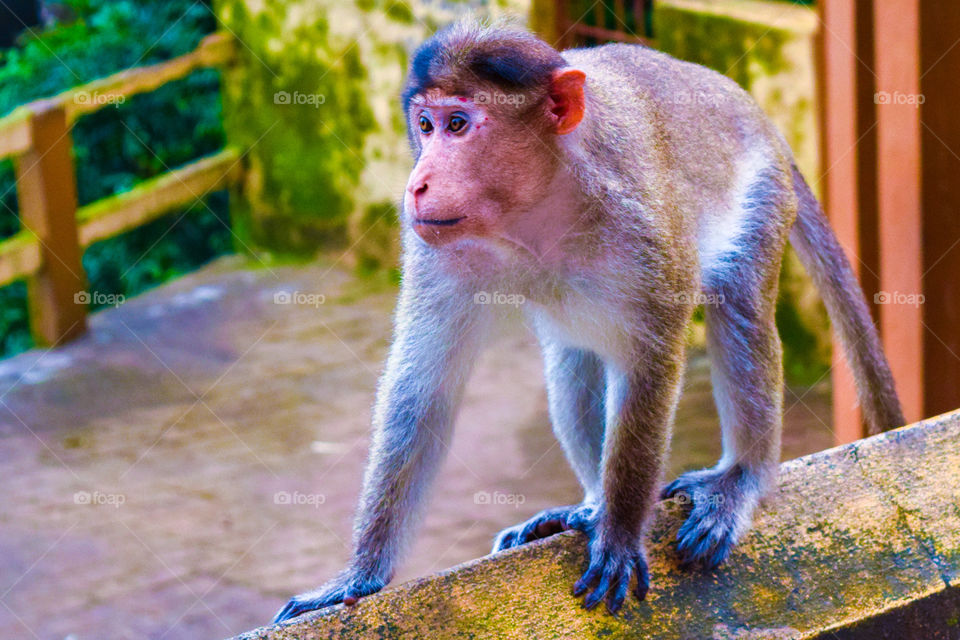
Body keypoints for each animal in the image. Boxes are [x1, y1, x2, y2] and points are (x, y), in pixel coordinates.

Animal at [273, 21, 904, 622]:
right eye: (424, 126)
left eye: (458, 124)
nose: (417, 182)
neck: (537, 207)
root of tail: (746, 106)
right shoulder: (437, 249)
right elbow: (421, 389)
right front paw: (358, 577)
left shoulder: (642, 229)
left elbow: (649, 366)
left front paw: (621, 535)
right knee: (573, 356)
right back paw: (591, 504)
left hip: (763, 194)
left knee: (741, 311)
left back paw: (738, 478)